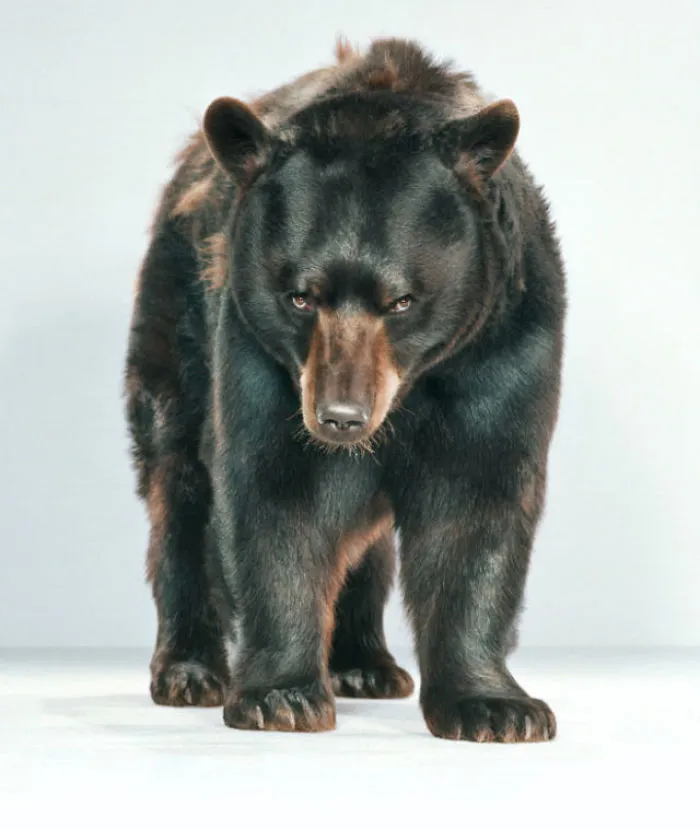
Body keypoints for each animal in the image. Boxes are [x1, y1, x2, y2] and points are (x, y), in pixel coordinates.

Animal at [124, 37, 566, 742]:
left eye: (402, 300)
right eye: (300, 296)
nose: (340, 417)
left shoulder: (503, 344)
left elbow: (479, 502)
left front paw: (497, 707)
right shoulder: (259, 351)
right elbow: (275, 493)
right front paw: (280, 696)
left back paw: (367, 664)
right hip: (178, 322)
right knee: (179, 482)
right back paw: (188, 669)